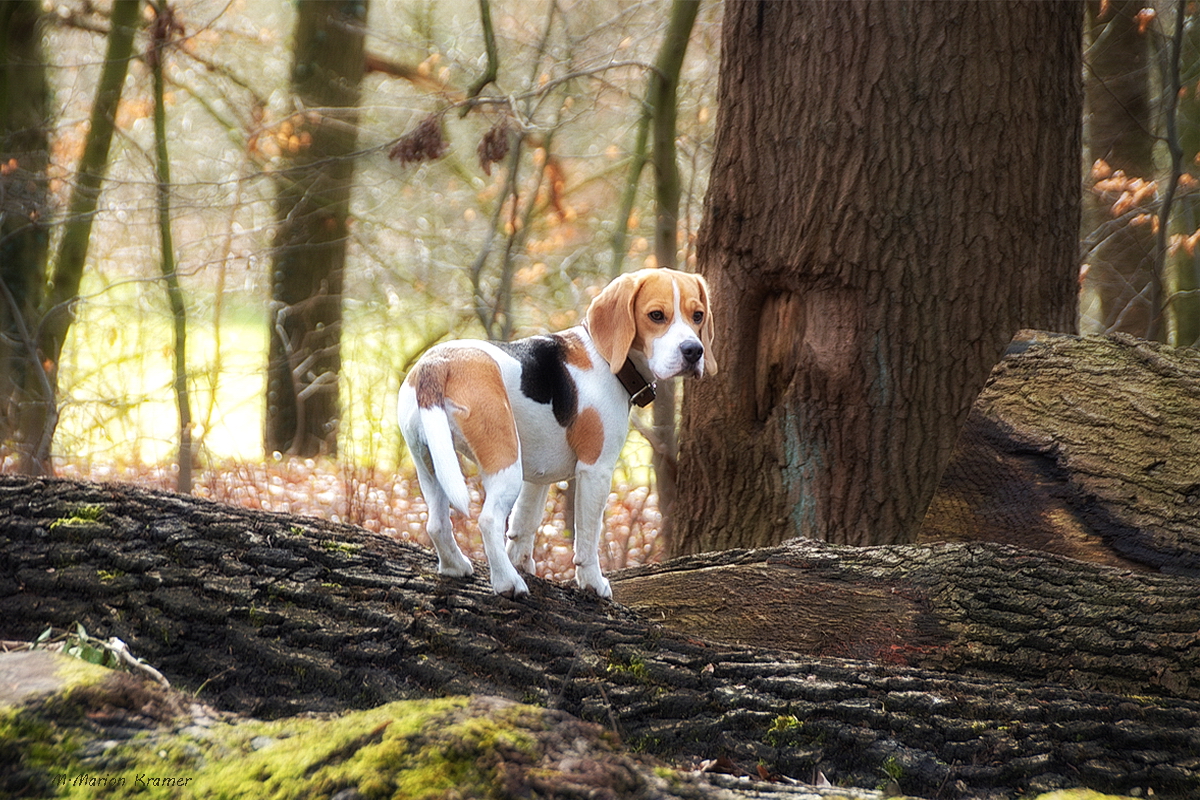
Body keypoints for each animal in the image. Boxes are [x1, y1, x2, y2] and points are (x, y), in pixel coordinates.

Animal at [398, 266, 710, 597]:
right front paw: (592, 582)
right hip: (505, 460)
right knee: (488, 519)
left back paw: (456, 566)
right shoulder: (595, 470)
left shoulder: (538, 476)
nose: (693, 351)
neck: (605, 357)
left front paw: (522, 562)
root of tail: (436, 364)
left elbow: (525, 523)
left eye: (698, 315)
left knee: (437, 524)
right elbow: (587, 536)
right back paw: (508, 582)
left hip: (429, 461)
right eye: (656, 315)